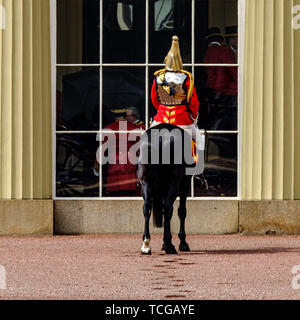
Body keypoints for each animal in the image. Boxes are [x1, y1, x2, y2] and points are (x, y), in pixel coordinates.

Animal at [137, 123, 193, 255]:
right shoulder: (185, 183)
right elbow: (181, 211)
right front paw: (182, 243)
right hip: (174, 183)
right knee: (168, 209)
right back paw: (169, 245)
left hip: (145, 182)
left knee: (147, 207)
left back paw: (146, 244)